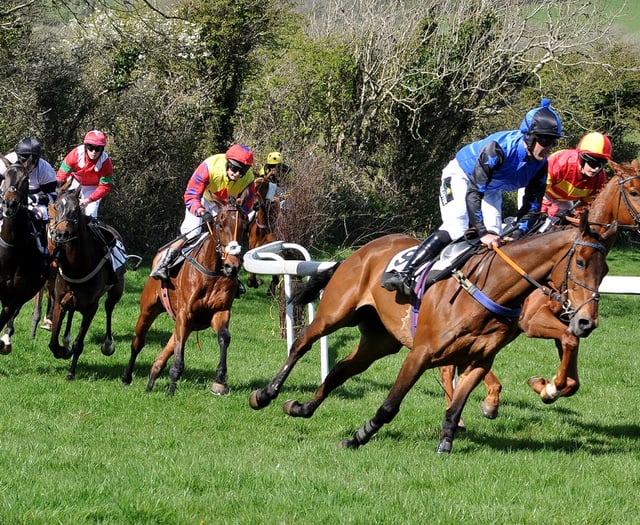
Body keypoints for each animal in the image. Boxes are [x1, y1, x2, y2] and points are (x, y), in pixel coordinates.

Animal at [47, 186, 126, 378]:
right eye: (56, 207)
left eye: (75, 210)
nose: (61, 234)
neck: (76, 266)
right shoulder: (59, 301)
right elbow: (53, 342)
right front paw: (63, 350)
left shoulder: (91, 307)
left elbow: (79, 343)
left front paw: (71, 372)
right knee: (71, 312)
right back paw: (66, 340)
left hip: (116, 291)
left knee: (109, 307)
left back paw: (108, 344)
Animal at [122, 199, 250, 396]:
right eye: (220, 224)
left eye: (245, 226)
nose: (232, 266)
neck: (212, 272)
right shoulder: (184, 314)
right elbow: (179, 354)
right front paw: (171, 389)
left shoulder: (219, 312)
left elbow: (224, 337)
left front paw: (220, 381)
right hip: (149, 309)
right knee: (138, 342)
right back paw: (127, 377)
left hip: (187, 324)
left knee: (168, 347)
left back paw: (152, 378)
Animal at [249, 211, 616, 452]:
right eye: (580, 262)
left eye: (606, 268)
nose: (587, 321)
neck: (491, 289)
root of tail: (363, 251)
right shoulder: (421, 353)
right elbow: (390, 405)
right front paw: (359, 436)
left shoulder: (478, 361)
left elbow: (455, 409)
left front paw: (446, 444)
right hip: (336, 313)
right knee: (302, 344)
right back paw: (265, 394)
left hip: (379, 341)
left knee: (340, 371)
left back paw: (301, 408)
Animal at [456, 158, 640, 420]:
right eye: (634, 192)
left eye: (605, 270)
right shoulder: (532, 320)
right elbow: (570, 341)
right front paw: (549, 388)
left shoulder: (571, 320)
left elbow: (573, 372)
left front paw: (545, 385)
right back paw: (488, 399)